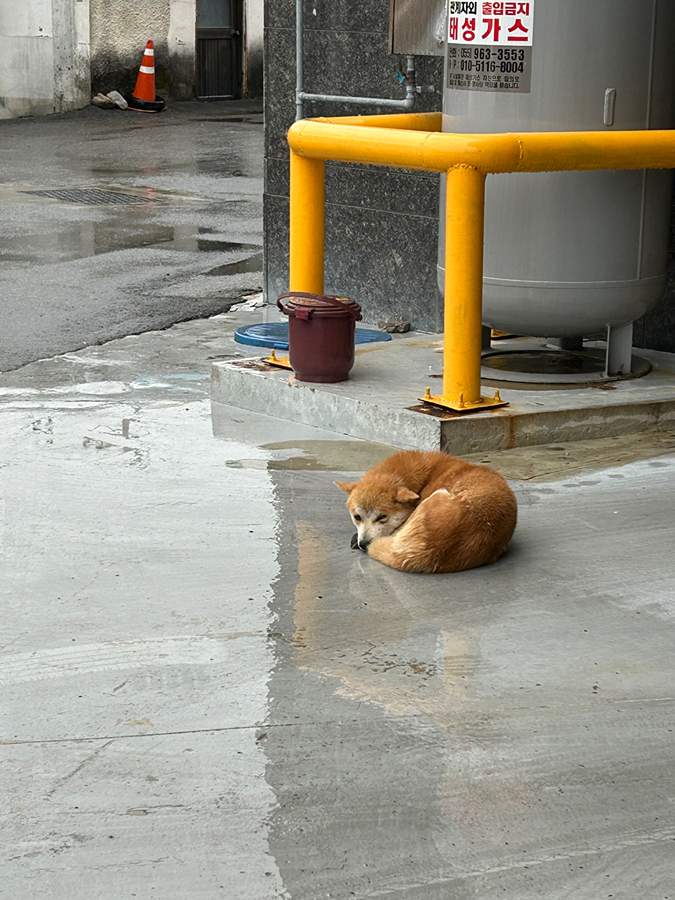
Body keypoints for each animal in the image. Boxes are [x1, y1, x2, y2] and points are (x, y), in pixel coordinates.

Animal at [336, 450, 516, 576]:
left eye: (382, 517)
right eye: (357, 517)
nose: (363, 543)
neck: (425, 478)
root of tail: (428, 552)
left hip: (438, 496)